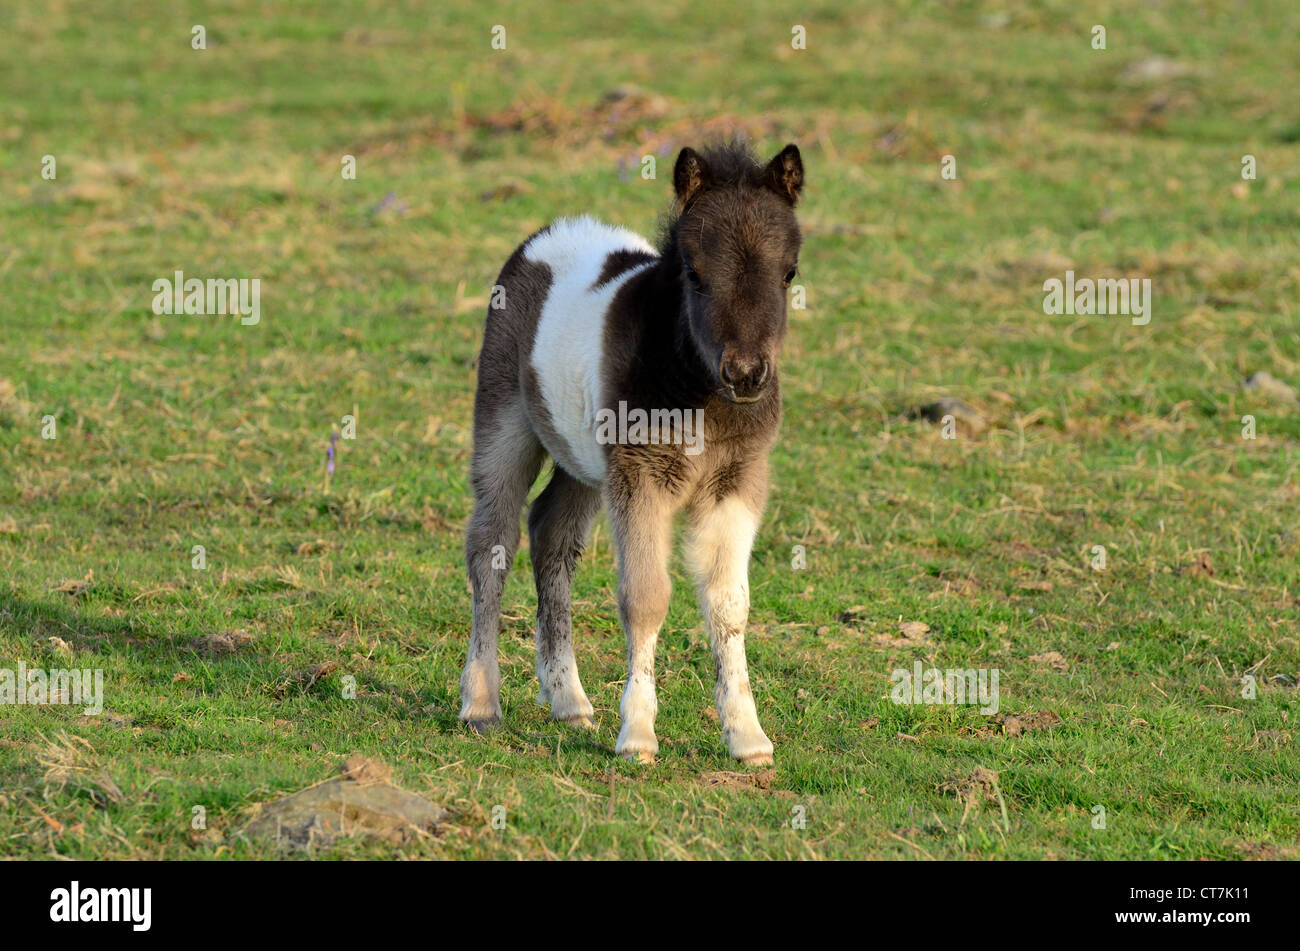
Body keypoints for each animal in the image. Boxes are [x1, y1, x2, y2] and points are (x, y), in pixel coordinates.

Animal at [457, 142, 800, 763]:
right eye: (693, 272)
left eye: (789, 273)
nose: (745, 375)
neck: (700, 395)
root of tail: (548, 234)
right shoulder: (640, 475)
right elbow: (645, 597)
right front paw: (638, 734)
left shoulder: (737, 480)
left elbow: (729, 604)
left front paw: (747, 736)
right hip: (505, 421)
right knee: (491, 543)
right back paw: (480, 703)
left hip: (585, 462)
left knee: (551, 534)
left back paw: (568, 701)